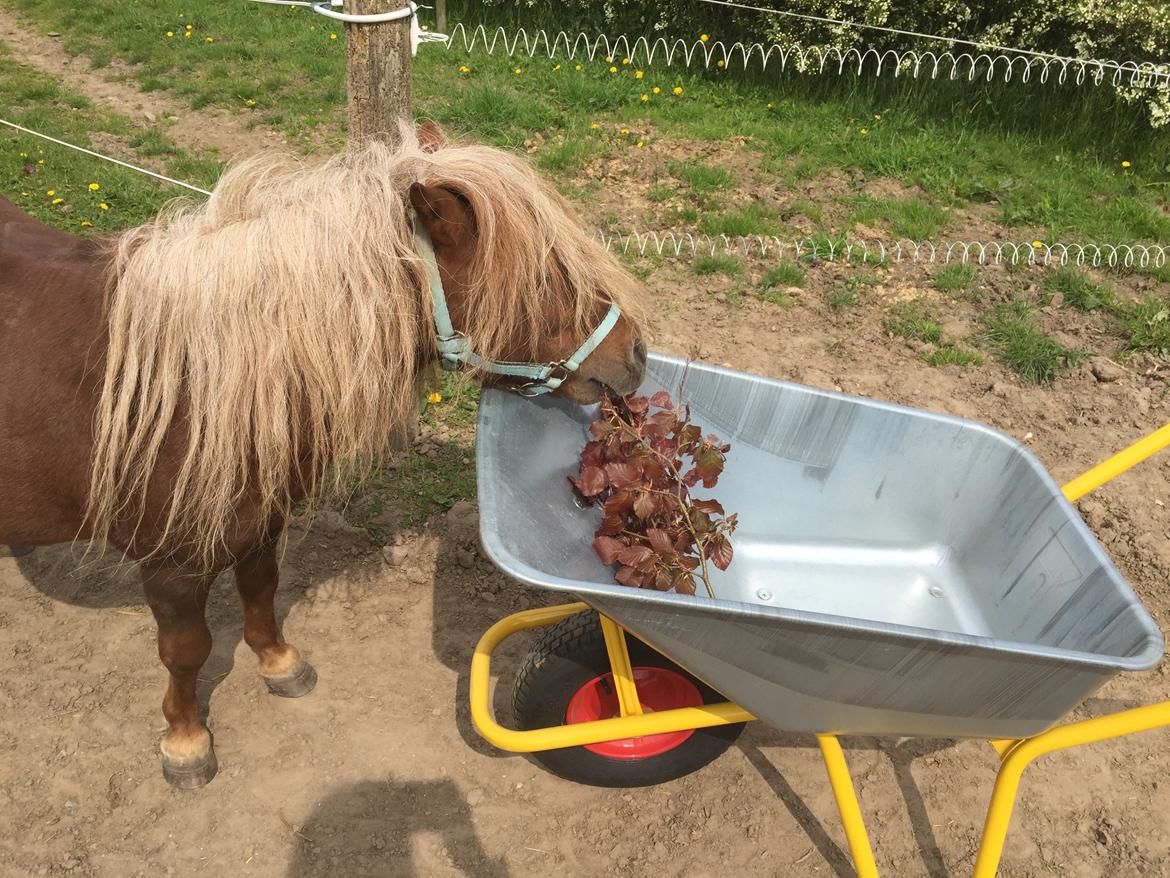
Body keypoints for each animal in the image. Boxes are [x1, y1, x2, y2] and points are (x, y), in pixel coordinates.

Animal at [0, 123, 648, 788]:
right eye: (541, 281)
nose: (637, 354)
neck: (202, 380)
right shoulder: (171, 564)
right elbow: (186, 652)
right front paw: (185, 740)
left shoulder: (262, 521)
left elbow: (261, 590)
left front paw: (279, 664)